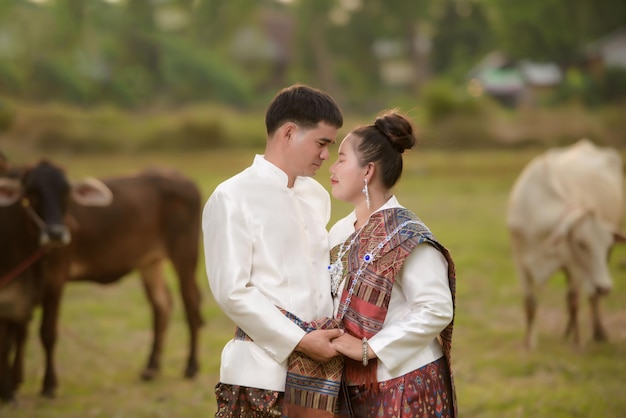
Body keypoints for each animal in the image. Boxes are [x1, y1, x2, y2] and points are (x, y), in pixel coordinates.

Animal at [0, 158, 202, 400]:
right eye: (32, 192)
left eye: (66, 191)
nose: (56, 234)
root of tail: (185, 180)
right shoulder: (18, 290)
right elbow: (15, 335)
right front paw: (12, 385)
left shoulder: (55, 279)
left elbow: (46, 332)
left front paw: (48, 386)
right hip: (150, 262)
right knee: (162, 305)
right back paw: (151, 368)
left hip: (185, 254)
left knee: (191, 303)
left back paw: (191, 367)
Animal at [504, 139, 620, 348]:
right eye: (581, 243)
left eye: (606, 244)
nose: (606, 287)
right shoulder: (520, 262)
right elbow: (530, 303)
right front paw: (528, 344)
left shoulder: (575, 266)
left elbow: (574, 301)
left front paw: (577, 343)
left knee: (591, 297)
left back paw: (598, 332)